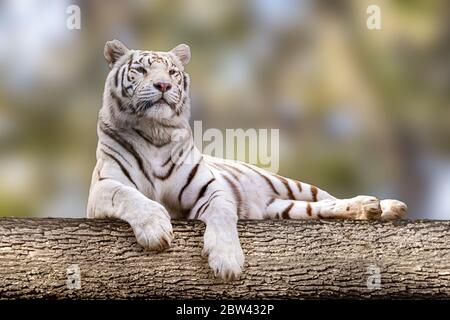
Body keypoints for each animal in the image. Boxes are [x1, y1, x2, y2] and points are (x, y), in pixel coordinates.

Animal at [86, 41, 406, 282]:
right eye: (140, 70)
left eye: (172, 72)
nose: (163, 84)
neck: (155, 133)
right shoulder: (103, 187)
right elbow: (129, 196)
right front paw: (155, 230)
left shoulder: (211, 190)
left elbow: (222, 214)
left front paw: (227, 261)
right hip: (284, 209)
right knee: (322, 209)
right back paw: (369, 209)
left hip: (290, 185)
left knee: (329, 197)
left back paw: (384, 206)